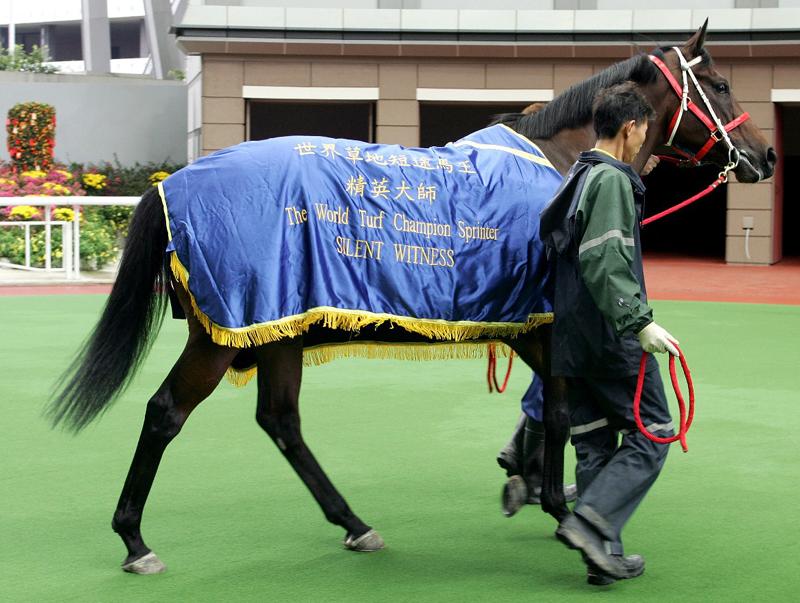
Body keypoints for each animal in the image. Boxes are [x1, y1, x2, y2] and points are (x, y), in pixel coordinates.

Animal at [49, 22, 775, 575]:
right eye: (718, 83)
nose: (764, 155)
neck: (560, 162)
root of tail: (171, 185)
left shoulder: (530, 323)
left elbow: (553, 409)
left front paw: (536, 483)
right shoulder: (543, 325)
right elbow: (563, 413)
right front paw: (564, 510)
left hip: (281, 329)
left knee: (281, 422)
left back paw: (353, 522)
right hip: (225, 331)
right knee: (166, 413)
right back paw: (135, 539)